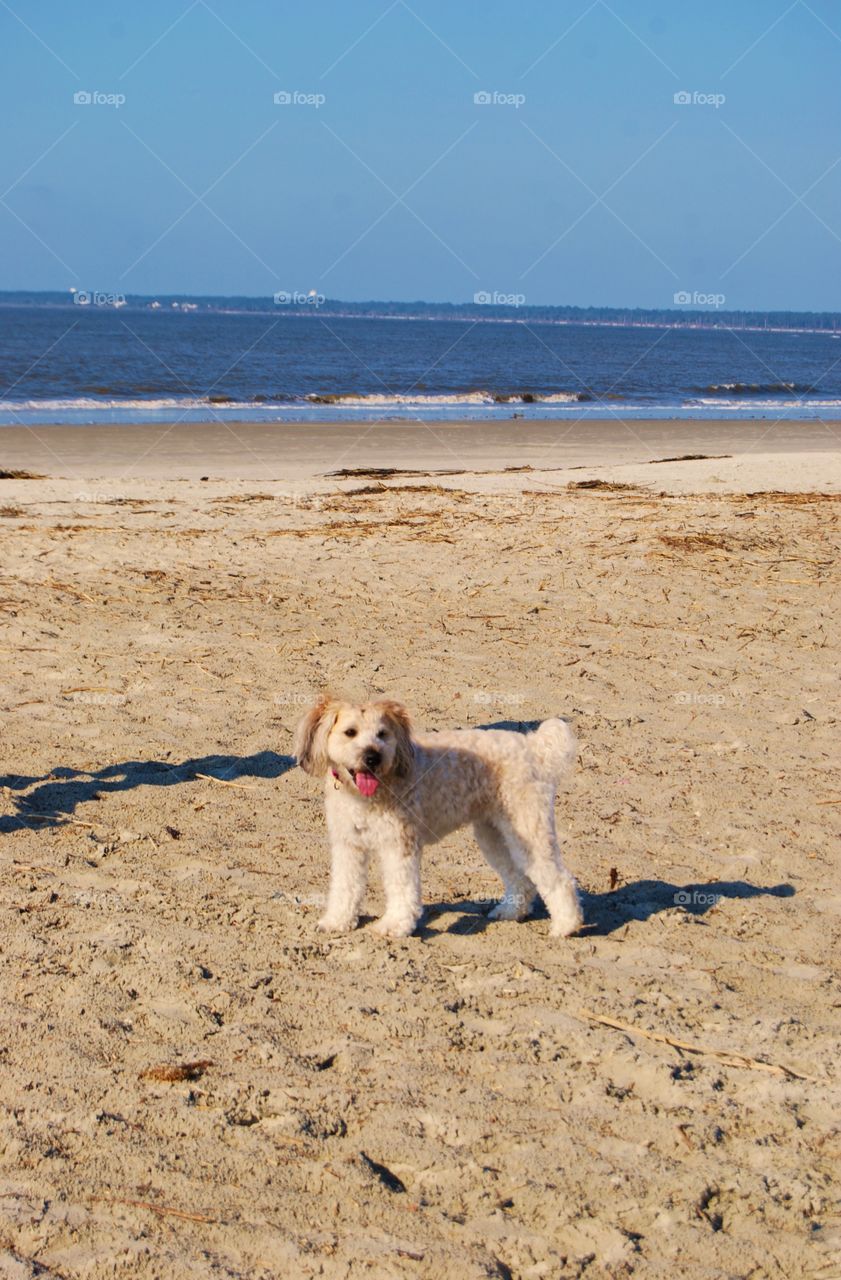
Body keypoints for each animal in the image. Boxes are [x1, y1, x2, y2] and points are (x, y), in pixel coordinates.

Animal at [291, 701, 581, 942]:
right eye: (350, 732)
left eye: (383, 734)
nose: (373, 757)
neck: (365, 796)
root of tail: (533, 747)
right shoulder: (348, 846)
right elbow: (345, 886)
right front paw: (337, 921)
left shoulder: (399, 845)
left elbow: (401, 889)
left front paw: (394, 926)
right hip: (494, 835)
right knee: (520, 879)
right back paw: (511, 912)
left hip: (530, 830)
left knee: (560, 879)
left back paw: (565, 926)